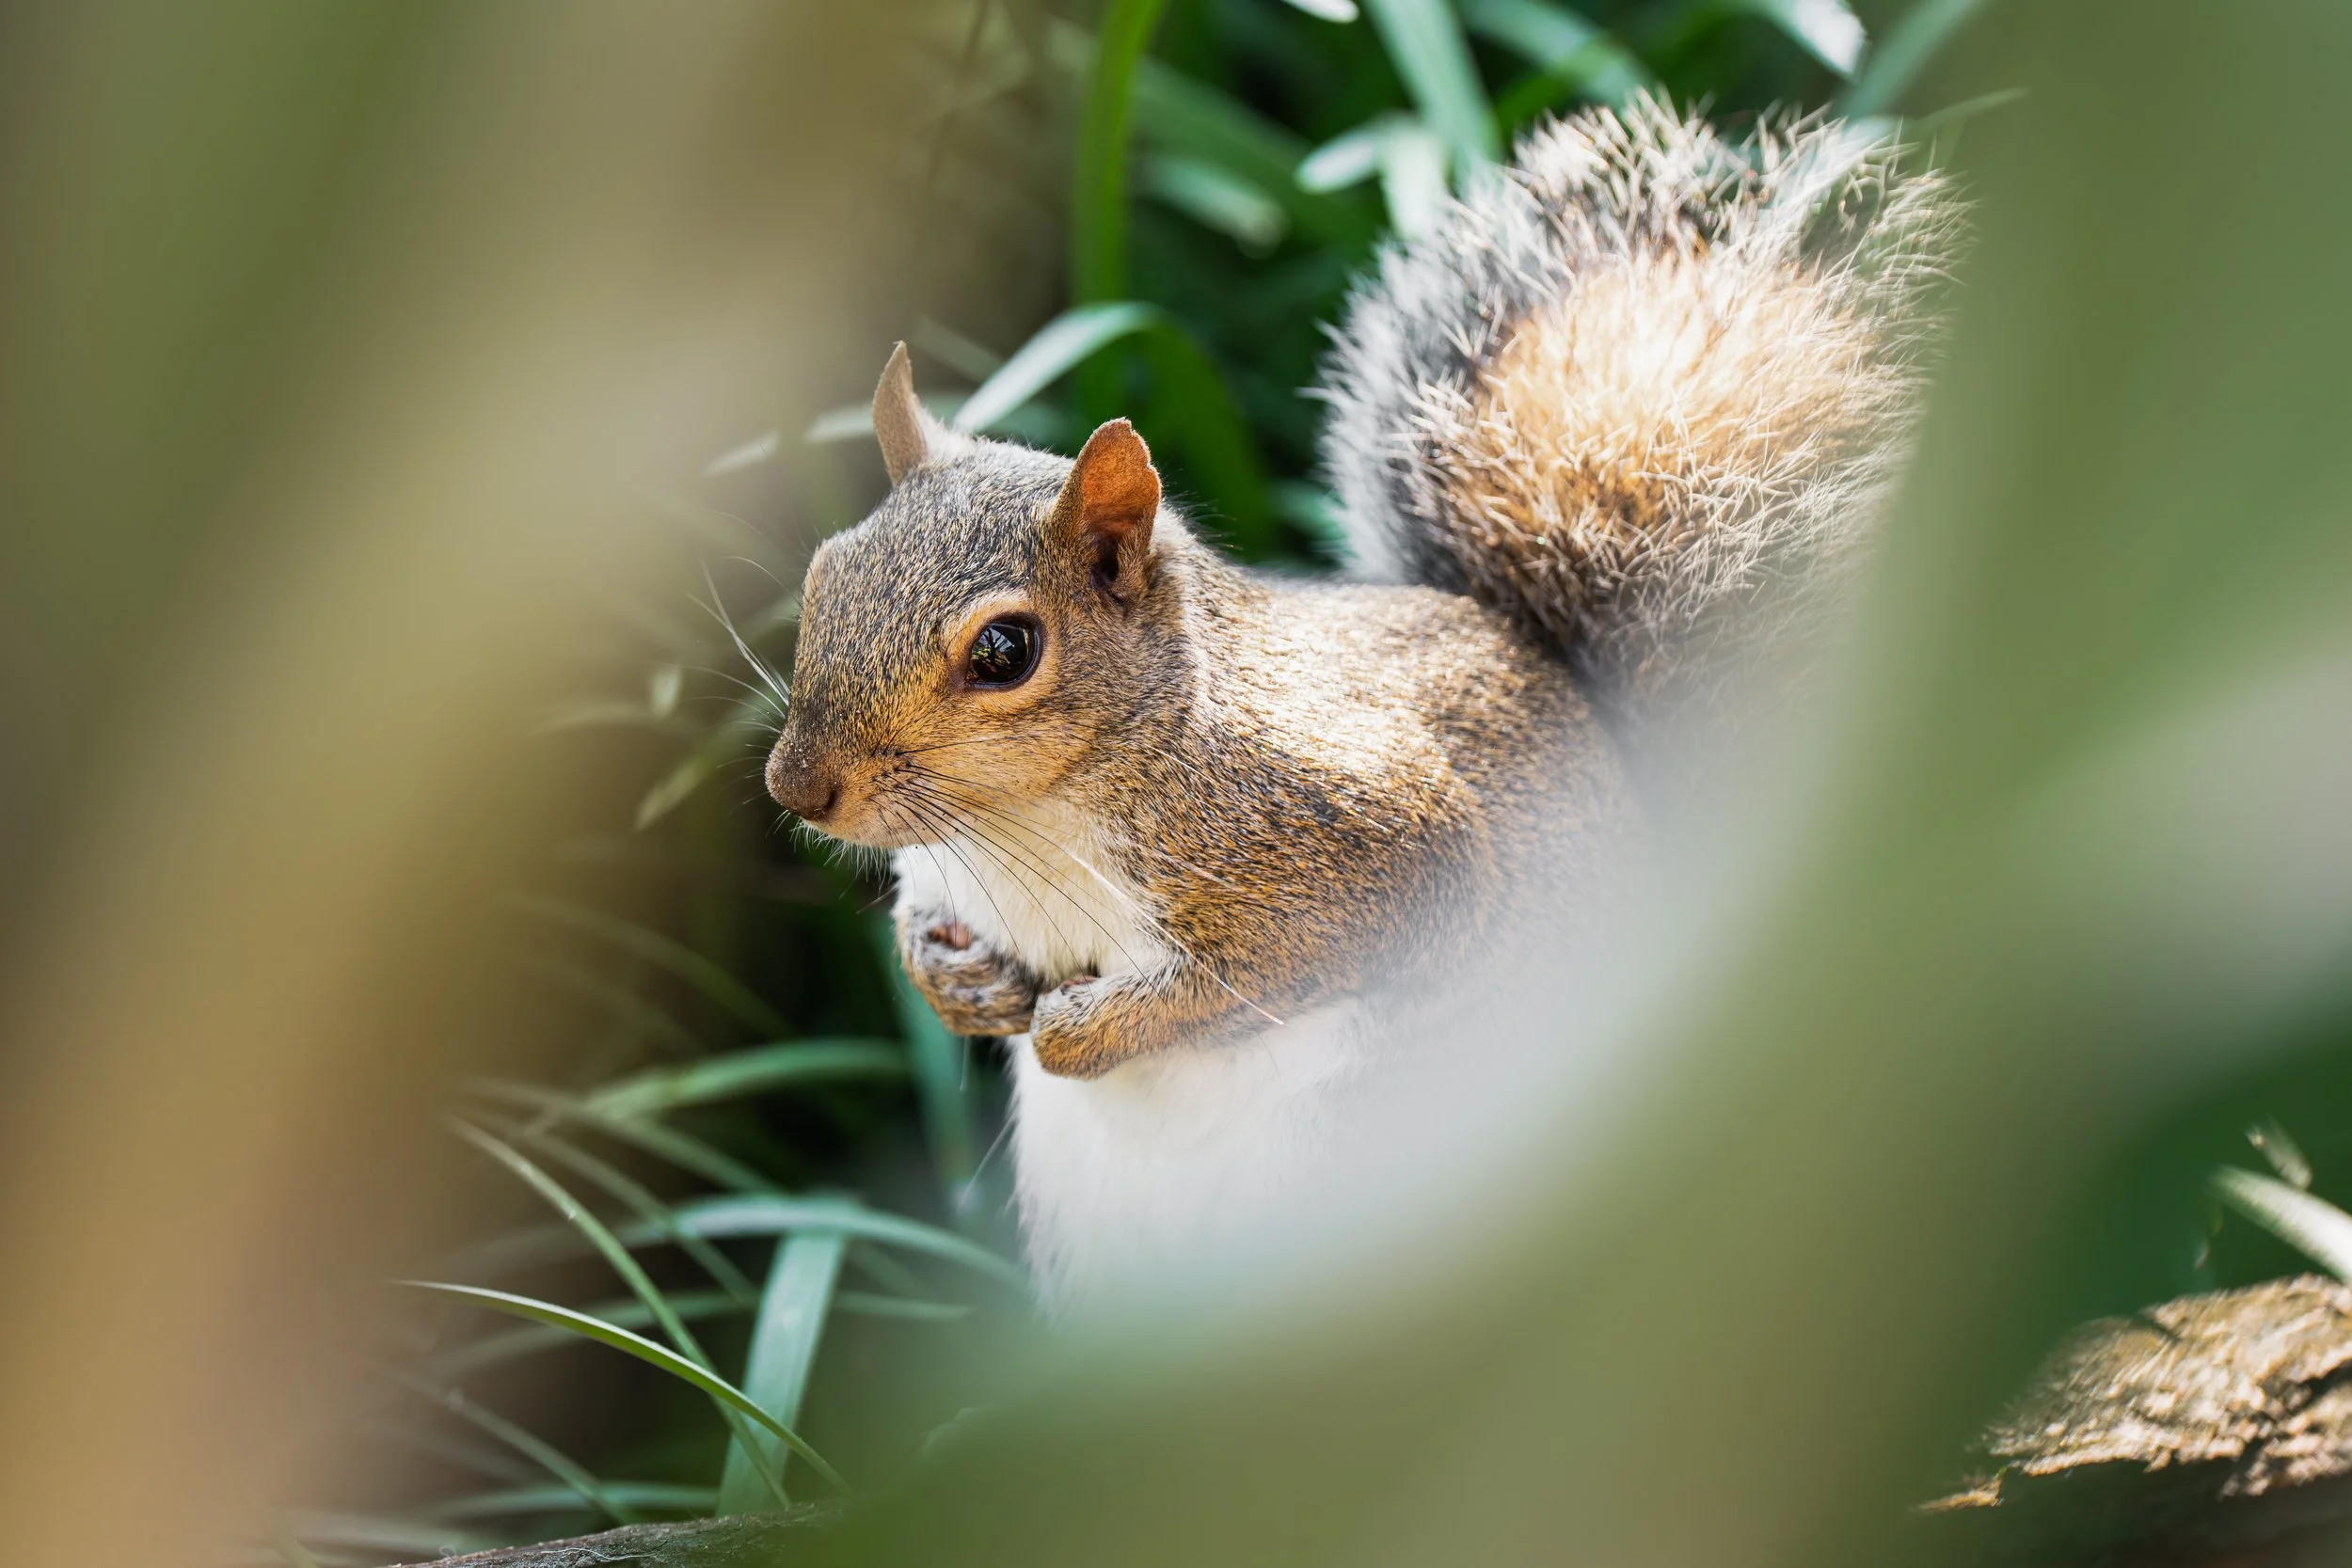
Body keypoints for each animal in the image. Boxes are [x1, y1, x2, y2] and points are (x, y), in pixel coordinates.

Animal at [765, 101, 1958, 1306]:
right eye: (823, 570)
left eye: (1006, 650)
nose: (796, 787)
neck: (1023, 824)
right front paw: (955, 980)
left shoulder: (1348, 826)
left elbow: (1289, 957)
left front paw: (1079, 1029)